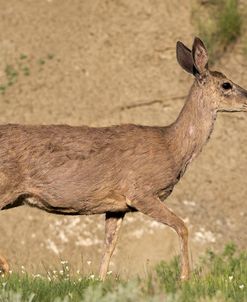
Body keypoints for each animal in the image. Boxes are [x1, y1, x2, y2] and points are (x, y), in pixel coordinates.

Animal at [0, 37, 247, 280]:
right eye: (226, 84)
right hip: (6, 185)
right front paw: (185, 278)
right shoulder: (141, 191)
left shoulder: (117, 206)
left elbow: (110, 244)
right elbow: (182, 226)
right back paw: (6, 266)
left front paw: (99, 280)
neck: (172, 147)